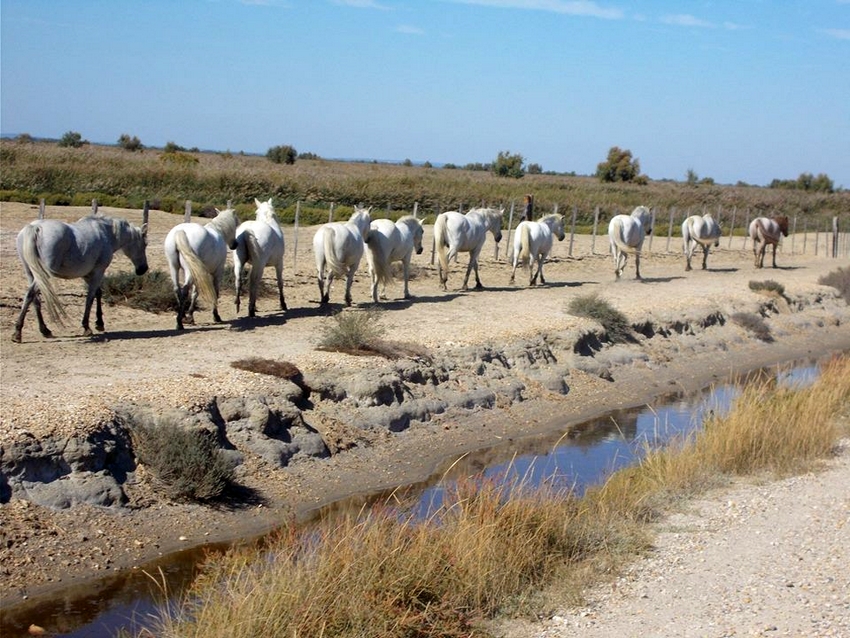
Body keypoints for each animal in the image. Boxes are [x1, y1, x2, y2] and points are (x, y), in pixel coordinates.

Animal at [12, 214, 149, 343]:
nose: (143, 269)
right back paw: (18, 333)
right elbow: (90, 297)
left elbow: (98, 293)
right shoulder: (98, 272)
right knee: (30, 295)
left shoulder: (87, 275)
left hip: (31, 273)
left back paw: (44, 330)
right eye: (144, 244)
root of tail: (35, 227)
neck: (107, 234)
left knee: (34, 299)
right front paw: (87, 326)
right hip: (43, 274)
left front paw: (99, 323)